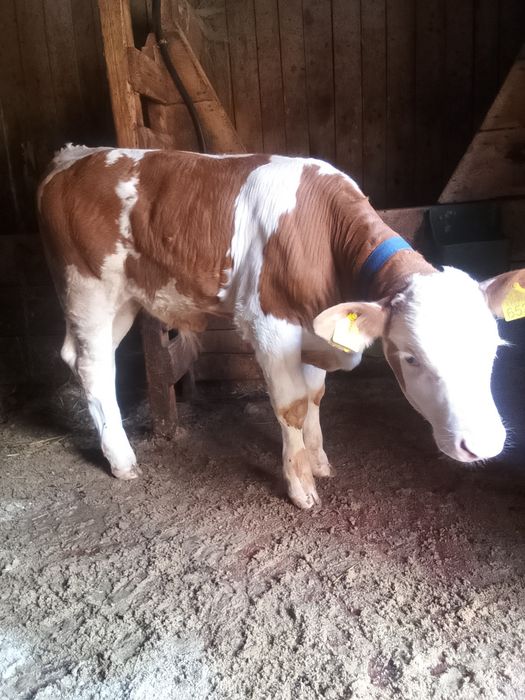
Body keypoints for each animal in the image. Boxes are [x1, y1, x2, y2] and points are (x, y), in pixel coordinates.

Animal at [37, 145, 524, 509]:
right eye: (411, 357)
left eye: (494, 350)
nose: (483, 445)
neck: (323, 232)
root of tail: (76, 155)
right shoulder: (271, 325)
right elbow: (292, 406)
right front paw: (301, 485)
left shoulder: (315, 328)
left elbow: (316, 396)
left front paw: (319, 459)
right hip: (87, 287)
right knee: (94, 366)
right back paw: (121, 458)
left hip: (123, 299)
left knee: (77, 356)